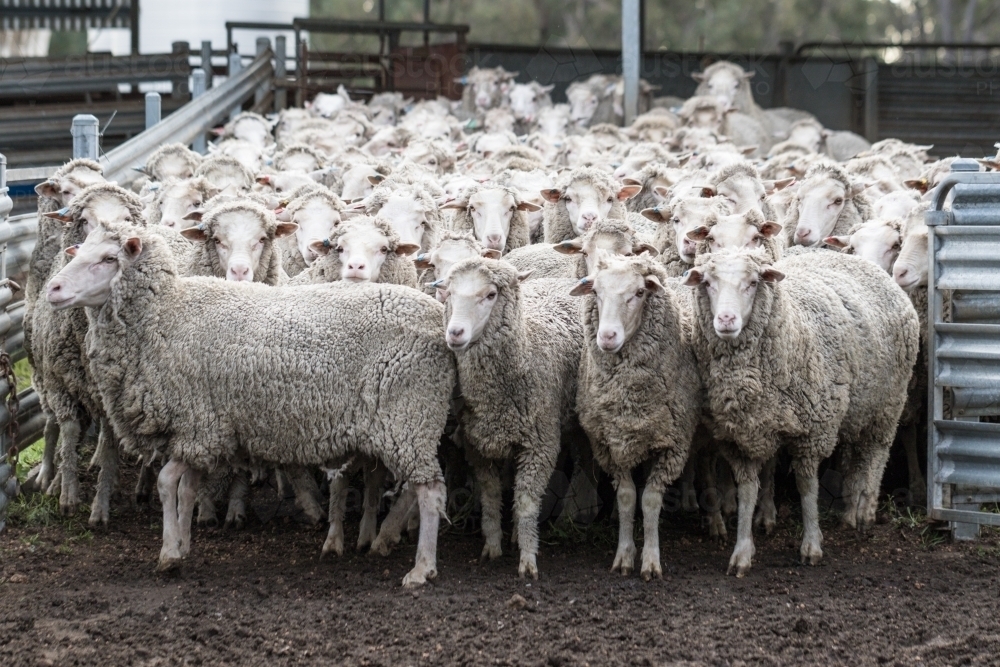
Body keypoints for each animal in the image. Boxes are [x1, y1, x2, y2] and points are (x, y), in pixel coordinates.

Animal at [46, 222, 454, 588]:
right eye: (78, 252)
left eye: (108, 259)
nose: (53, 288)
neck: (163, 316)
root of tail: (437, 315)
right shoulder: (198, 432)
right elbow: (187, 490)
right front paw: (183, 545)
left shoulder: (200, 426)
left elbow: (166, 484)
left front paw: (168, 555)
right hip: (404, 422)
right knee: (414, 489)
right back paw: (387, 541)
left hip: (409, 416)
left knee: (430, 491)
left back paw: (422, 568)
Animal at [440, 258, 584, 580]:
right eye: (450, 293)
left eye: (491, 294)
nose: (455, 333)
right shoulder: (478, 446)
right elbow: (491, 497)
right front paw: (492, 546)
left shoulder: (540, 446)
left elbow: (527, 502)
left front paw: (528, 559)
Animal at [568, 254, 700, 580]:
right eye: (596, 292)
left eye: (639, 292)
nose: (606, 337)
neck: (629, 400)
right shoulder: (609, 444)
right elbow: (627, 498)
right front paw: (624, 555)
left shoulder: (672, 445)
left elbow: (651, 500)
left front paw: (651, 560)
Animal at [684, 248, 916, 576]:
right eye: (707, 283)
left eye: (753, 283)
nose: (726, 319)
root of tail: (859, 261)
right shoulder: (740, 436)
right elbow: (747, 491)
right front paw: (742, 551)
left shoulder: (814, 430)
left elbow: (807, 488)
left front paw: (811, 545)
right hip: (859, 406)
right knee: (856, 456)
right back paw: (850, 510)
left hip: (888, 403)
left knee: (876, 454)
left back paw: (866, 511)